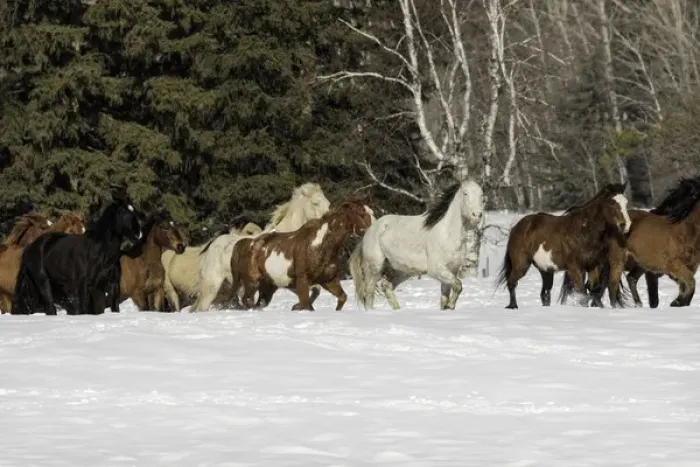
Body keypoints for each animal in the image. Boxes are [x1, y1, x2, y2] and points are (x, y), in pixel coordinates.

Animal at [11, 199, 142, 315]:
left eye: (134, 211)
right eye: (122, 212)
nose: (138, 234)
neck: (101, 253)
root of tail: (30, 246)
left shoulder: (111, 286)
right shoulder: (84, 287)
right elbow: (84, 310)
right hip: (43, 282)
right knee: (51, 308)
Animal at [231, 197, 374, 311]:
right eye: (361, 213)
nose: (371, 231)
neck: (318, 246)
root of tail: (245, 244)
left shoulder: (329, 280)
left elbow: (342, 297)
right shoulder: (303, 280)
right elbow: (306, 304)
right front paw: (297, 307)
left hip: (268, 286)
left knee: (258, 303)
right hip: (252, 282)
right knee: (246, 300)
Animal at [349, 179, 484, 310]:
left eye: (481, 195)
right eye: (465, 193)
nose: (477, 215)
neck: (447, 233)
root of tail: (371, 230)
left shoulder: (451, 270)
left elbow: (445, 298)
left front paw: (448, 308)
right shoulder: (436, 270)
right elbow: (458, 285)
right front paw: (451, 305)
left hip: (402, 270)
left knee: (386, 286)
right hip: (374, 268)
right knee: (369, 293)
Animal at [495, 183, 631, 309]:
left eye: (626, 202)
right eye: (612, 203)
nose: (625, 225)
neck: (583, 231)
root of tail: (516, 228)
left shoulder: (593, 266)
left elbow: (593, 290)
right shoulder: (574, 268)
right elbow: (582, 292)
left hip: (545, 270)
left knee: (545, 293)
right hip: (521, 264)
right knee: (512, 282)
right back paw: (513, 306)